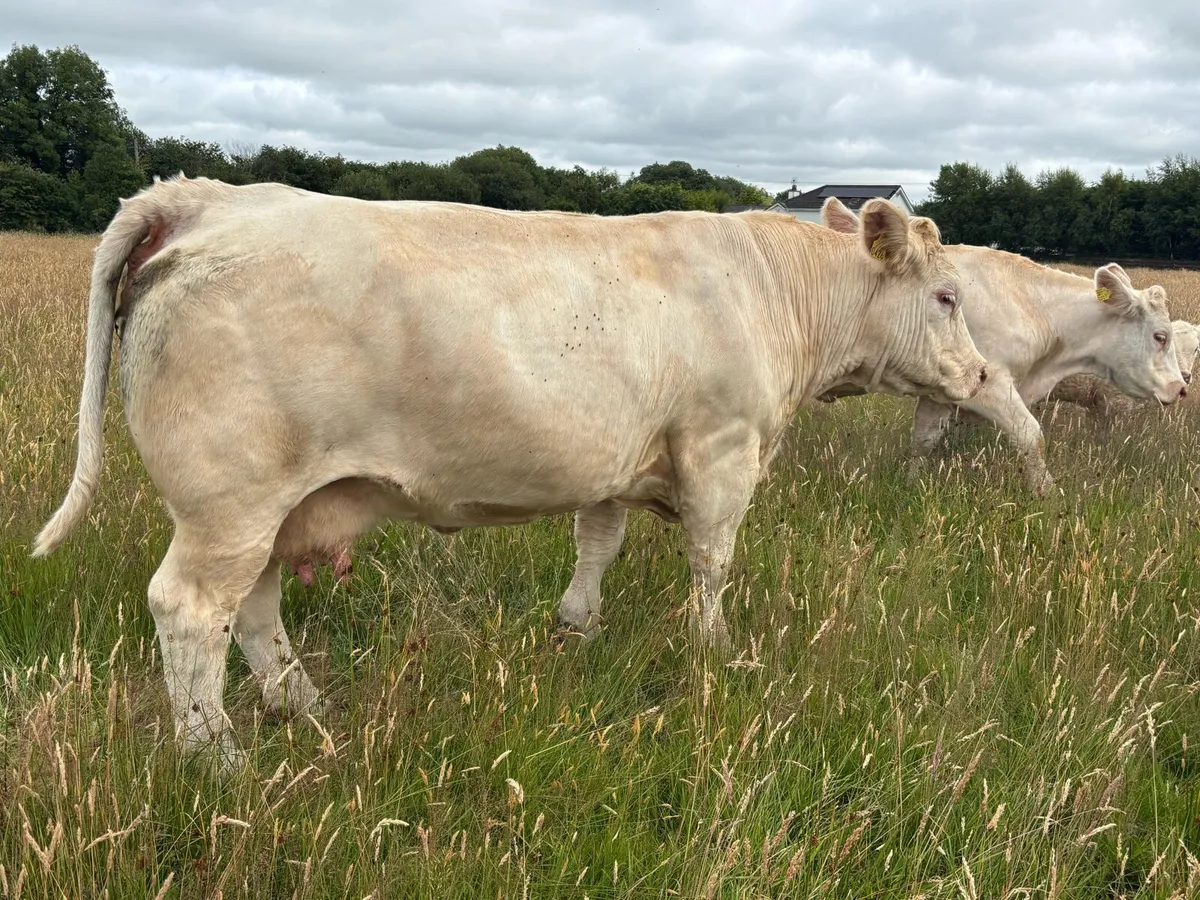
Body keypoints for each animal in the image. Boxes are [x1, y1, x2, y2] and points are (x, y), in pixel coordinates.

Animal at [32, 176, 985, 763]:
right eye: (947, 296)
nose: (979, 375)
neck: (771, 291)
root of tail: (205, 198)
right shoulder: (722, 447)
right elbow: (713, 561)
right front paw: (715, 651)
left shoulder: (615, 459)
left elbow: (597, 544)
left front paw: (578, 628)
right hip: (228, 501)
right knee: (191, 612)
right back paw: (216, 758)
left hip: (270, 508)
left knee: (255, 614)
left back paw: (303, 708)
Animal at [818, 197, 1187, 495]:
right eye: (1160, 336)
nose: (1181, 387)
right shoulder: (990, 385)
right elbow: (1031, 436)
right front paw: (1047, 495)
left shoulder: (940, 393)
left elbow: (923, 441)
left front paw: (911, 482)